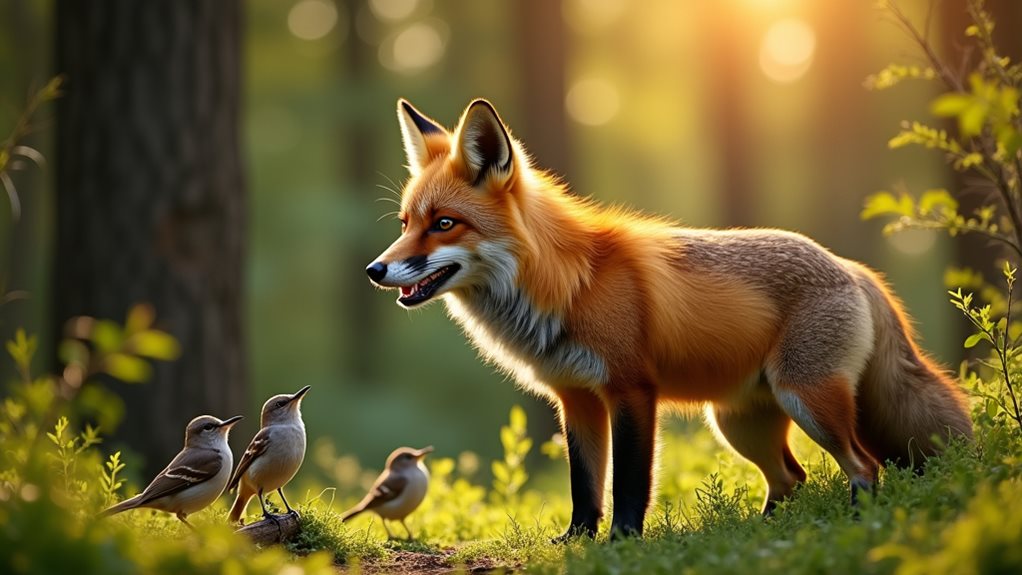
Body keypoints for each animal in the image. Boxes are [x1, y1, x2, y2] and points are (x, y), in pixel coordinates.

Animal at [365, 98, 973, 538]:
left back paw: (852, 524)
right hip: (738, 424)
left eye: (444, 223)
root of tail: (852, 267)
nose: (375, 270)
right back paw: (761, 536)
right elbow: (584, 487)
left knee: (865, 468)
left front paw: (623, 543)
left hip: (808, 399)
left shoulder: (632, 389)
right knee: (792, 479)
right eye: (405, 223)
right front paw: (577, 543)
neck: (568, 282)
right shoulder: (576, 399)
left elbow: (630, 483)